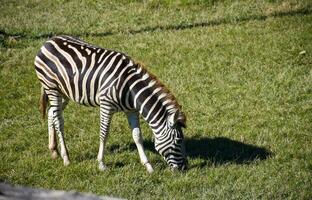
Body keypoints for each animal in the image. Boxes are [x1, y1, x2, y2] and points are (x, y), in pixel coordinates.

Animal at [34, 35, 186, 173]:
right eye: (178, 141)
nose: (183, 168)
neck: (131, 89)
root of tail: (48, 41)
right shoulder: (106, 105)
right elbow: (104, 133)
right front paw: (101, 164)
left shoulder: (131, 110)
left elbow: (137, 135)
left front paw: (148, 166)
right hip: (52, 88)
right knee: (58, 120)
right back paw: (66, 158)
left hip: (65, 92)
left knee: (51, 113)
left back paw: (54, 151)